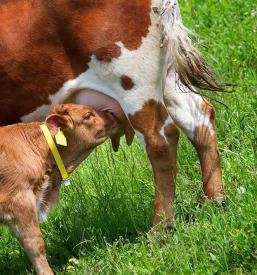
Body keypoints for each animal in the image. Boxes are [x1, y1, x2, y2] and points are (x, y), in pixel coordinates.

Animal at [0, 0, 225, 229]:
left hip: (133, 81)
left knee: (161, 141)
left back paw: (160, 230)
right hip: (168, 77)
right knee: (199, 116)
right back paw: (215, 202)